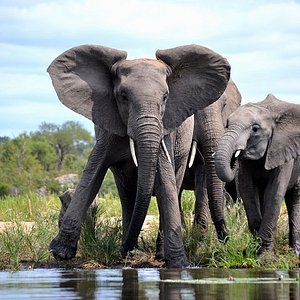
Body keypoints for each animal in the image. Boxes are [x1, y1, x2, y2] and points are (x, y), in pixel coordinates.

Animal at [214, 95, 300, 258]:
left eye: (255, 129)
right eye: (227, 124)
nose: (234, 158)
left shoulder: (282, 148)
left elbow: (275, 192)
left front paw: (265, 258)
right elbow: (247, 191)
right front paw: (253, 249)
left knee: (295, 198)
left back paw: (295, 252)